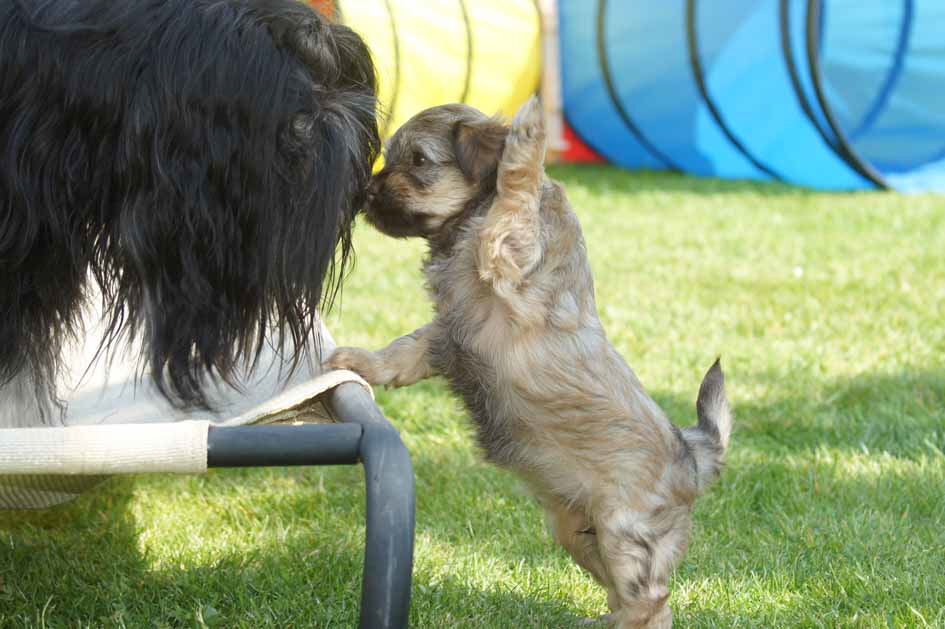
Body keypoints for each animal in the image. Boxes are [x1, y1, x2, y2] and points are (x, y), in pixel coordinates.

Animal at [328, 99, 732, 628]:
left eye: (418, 162)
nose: (365, 194)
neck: (467, 220)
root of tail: (692, 454)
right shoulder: (447, 331)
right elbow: (403, 350)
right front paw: (358, 361)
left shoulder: (510, 250)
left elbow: (514, 196)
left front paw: (530, 137)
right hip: (576, 529)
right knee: (627, 597)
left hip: (627, 534)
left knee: (650, 603)